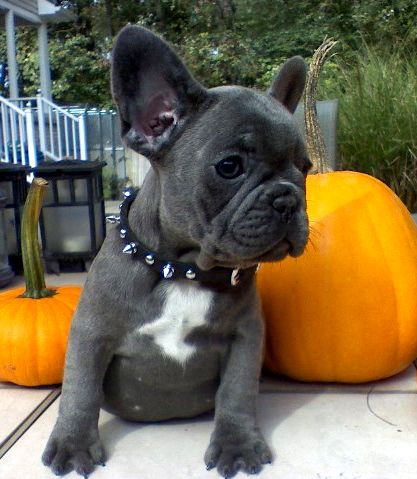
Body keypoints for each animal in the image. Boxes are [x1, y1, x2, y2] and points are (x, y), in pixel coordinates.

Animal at [42, 26, 311, 478]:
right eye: (229, 166)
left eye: (305, 168)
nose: (288, 198)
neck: (181, 269)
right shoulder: (91, 332)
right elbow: (79, 388)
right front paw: (74, 443)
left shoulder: (245, 336)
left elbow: (237, 393)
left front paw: (237, 443)